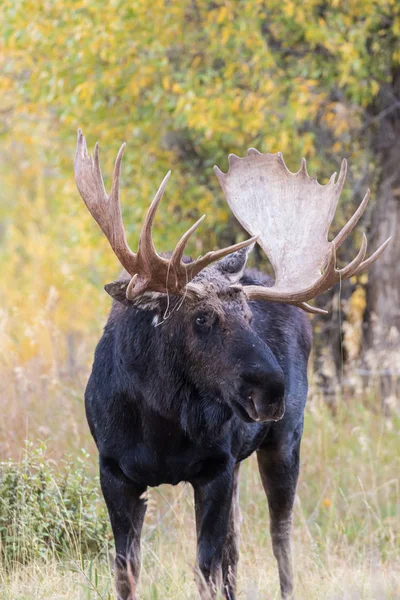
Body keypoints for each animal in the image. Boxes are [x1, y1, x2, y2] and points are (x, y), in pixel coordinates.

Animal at [73, 132, 390, 600]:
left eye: (248, 315)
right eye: (202, 318)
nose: (272, 389)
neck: (161, 426)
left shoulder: (216, 469)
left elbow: (206, 568)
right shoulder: (113, 470)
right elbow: (127, 573)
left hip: (284, 441)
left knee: (279, 538)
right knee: (236, 552)